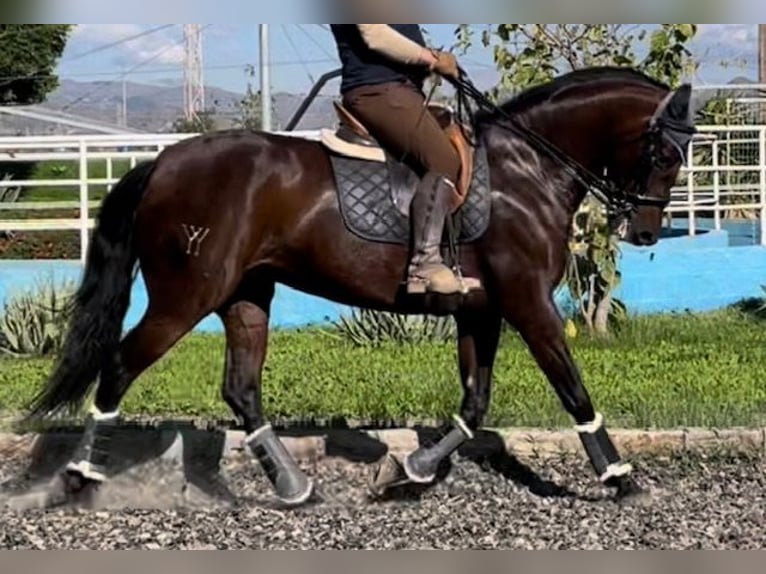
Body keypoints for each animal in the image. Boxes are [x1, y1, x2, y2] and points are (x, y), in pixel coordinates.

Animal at [22, 67, 696, 508]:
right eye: (664, 154)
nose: (643, 230)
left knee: (241, 389)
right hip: (186, 297)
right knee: (120, 365)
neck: (526, 170)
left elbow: (474, 404)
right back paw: (79, 477)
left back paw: (293, 487)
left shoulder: (482, 309)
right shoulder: (528, 304)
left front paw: (410, 471)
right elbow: (572, 389)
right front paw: (620, 477)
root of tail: (162, 162)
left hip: (247, 296)